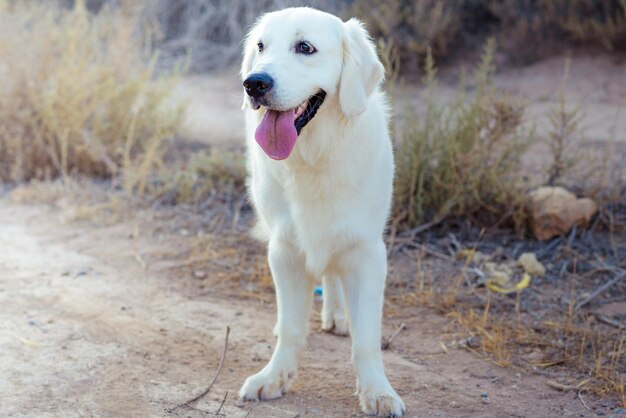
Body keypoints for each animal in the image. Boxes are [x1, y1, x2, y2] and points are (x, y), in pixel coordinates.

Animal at [236, 7, 402, 418]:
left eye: (305, 47)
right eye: (261, 46)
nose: (254, 84)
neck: (314, 155)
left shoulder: (368, 252)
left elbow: (367, 338)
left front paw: (377, 391)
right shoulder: (284, 250)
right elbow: (292, 328)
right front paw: (274, 377)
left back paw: (340, 316)